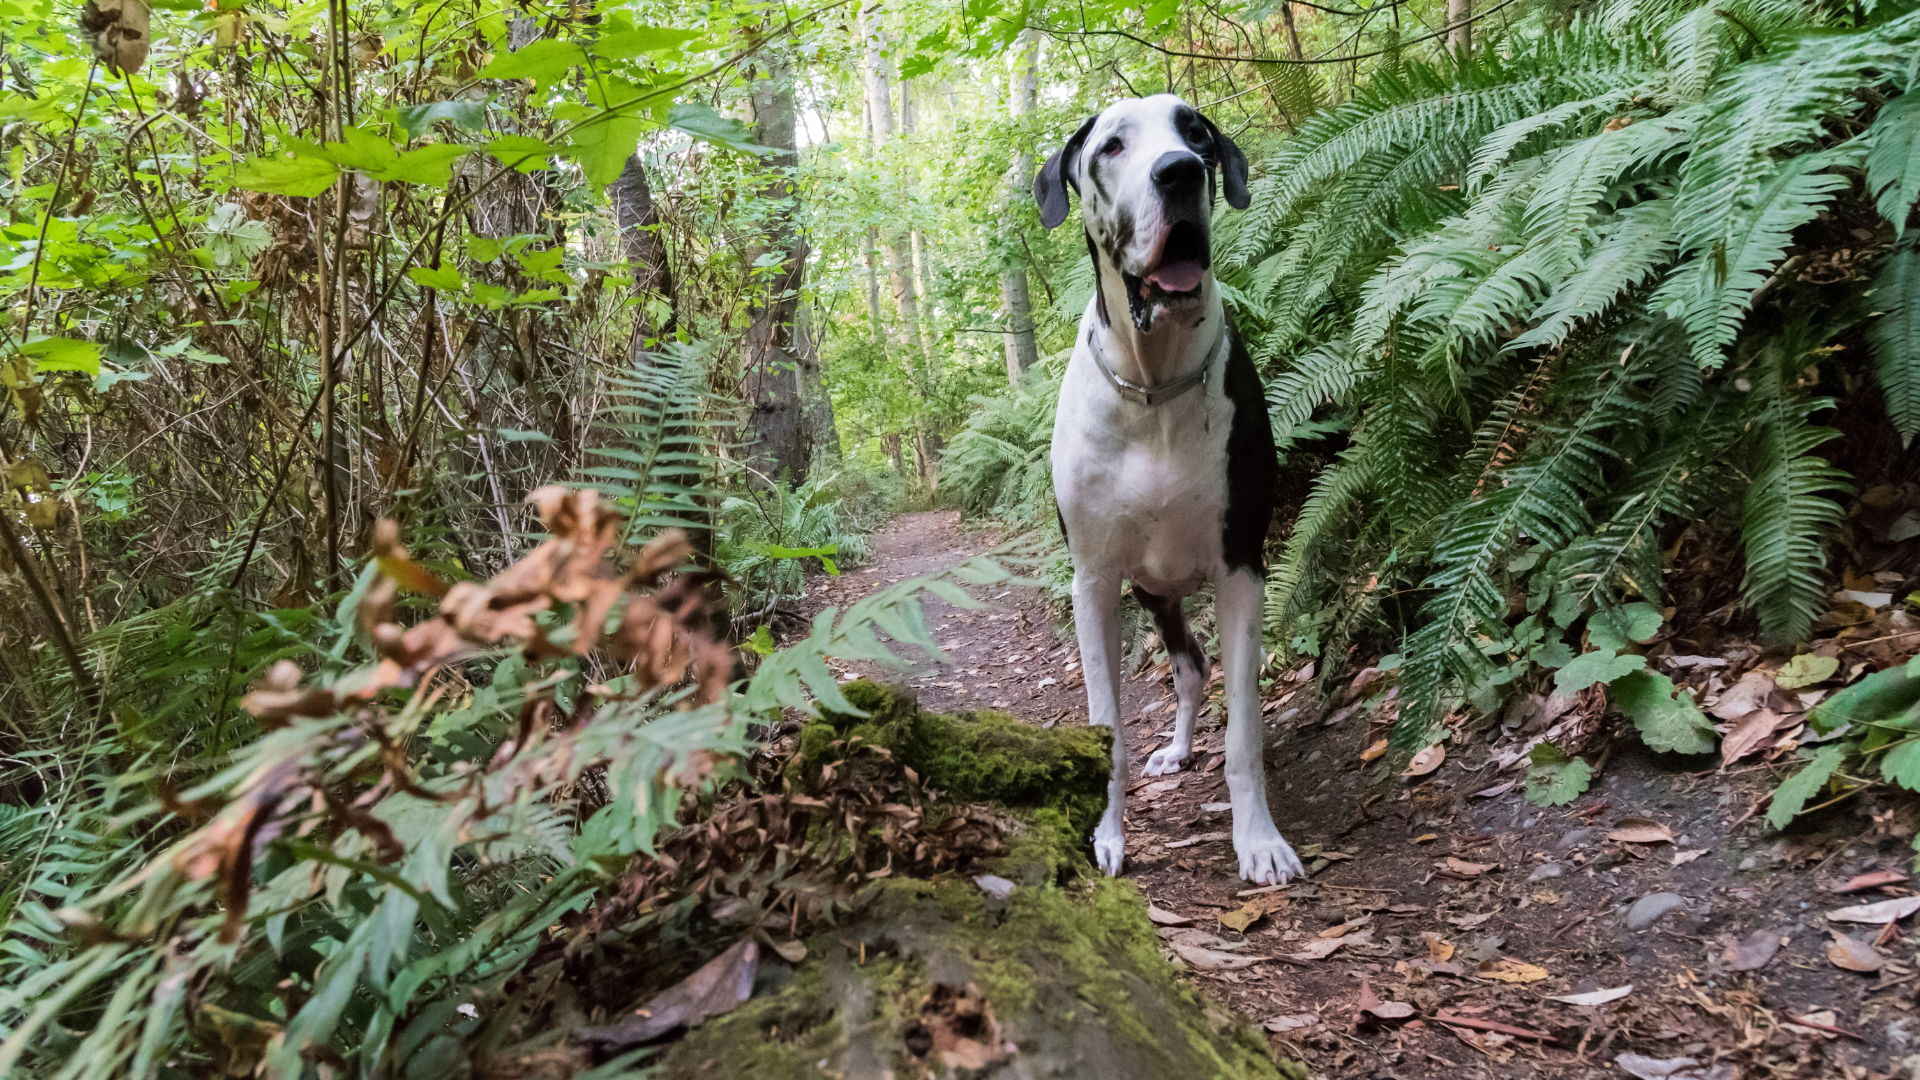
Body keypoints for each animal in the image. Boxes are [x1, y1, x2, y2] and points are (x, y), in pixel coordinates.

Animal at [1036, 92, 1305, 883]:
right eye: (1111, 147)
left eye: (1195, 134)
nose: (1180, 171)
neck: (1153, 385)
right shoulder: (1093, 582)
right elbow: (1106, 724)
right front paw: (1106, 833)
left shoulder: (1242, 566)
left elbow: (1244, 731)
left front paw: (1259, 839)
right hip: (1151, 592)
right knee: (1187, 669)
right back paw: (1175, 752)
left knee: (1197, 669)